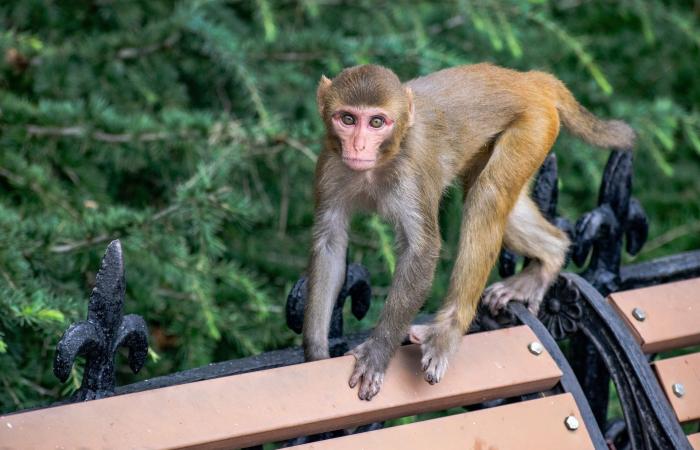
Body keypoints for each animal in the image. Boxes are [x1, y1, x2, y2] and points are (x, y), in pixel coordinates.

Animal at [304, 63, 636, 400]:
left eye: (376, 122)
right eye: (347, 119)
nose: (358, 146)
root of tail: (527, 79)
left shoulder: (411, 173)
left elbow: (422, 251)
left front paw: (377, 354)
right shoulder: (329, 164)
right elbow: (330, 243)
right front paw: (316, 355)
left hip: (534, 126)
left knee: (487, 196)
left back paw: (446, 334)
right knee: (499, 203)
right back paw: (550, 256)